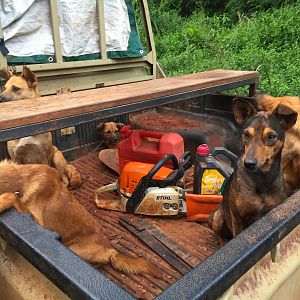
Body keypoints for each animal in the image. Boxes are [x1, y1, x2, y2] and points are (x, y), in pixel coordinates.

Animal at [209, 99, 298, 238]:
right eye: (246, 134)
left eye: (271, 136)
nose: (249, 163)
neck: (262, 178)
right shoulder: (237, 219)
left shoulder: (274, 211)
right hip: (218, 218)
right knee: (221, 236)